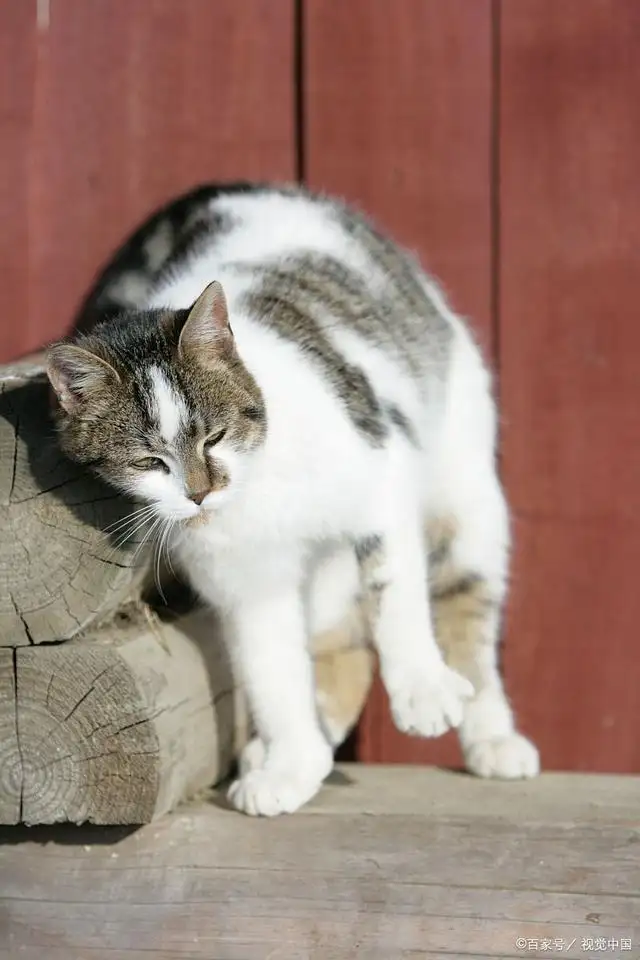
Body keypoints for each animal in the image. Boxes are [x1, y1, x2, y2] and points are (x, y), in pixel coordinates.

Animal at [45, 182, 536, 816]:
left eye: (214, 436)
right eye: (149, 463)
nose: (201, 493)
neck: (257, 486)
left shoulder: (380, 479)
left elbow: (395, 592)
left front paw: (423, 691)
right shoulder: (246, 582)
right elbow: (271, 669)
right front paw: (291, 766)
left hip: (464, 487)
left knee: (465, 604)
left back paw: (493, 738)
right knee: (339, 639)